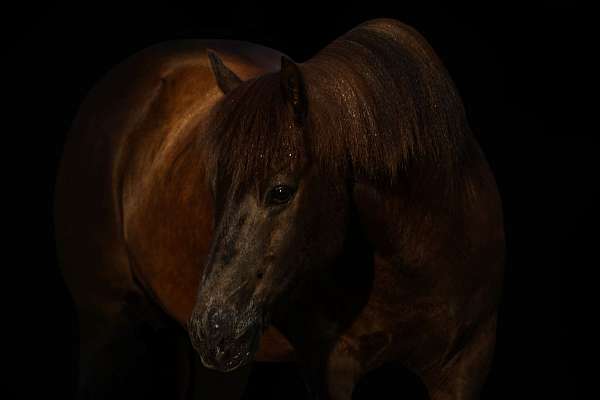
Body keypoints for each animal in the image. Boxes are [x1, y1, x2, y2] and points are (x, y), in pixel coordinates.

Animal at [55, 17, 502, 398]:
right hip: (105, 325)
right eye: (215, 187)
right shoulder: (331, 368)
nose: (212, 328)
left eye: (281, 192)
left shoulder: (465, 366)